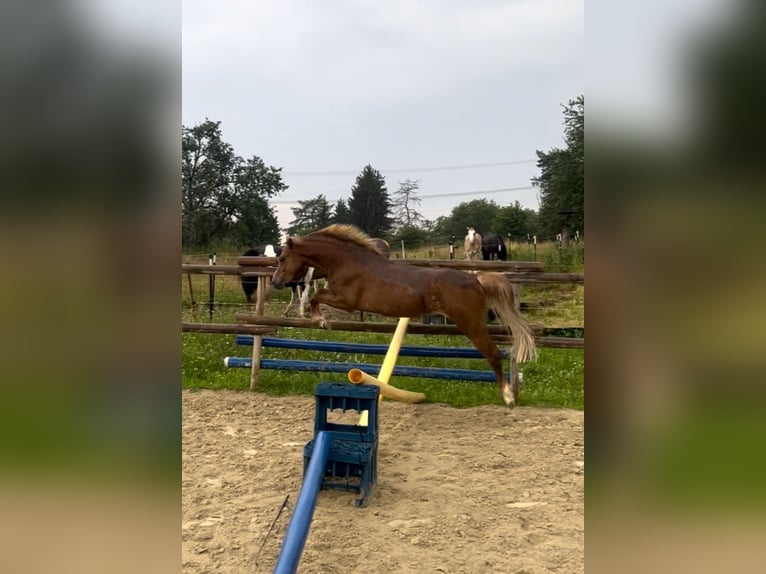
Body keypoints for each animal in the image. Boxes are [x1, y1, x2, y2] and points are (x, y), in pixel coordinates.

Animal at [272, 224, 536, 407]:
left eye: (282, 258)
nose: (275, 282)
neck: (347, 262)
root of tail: (476, 279)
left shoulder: (346, 301)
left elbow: (317, 297)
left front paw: (320, 320)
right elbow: (317, 297)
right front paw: (319, 319)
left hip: (472, 325)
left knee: (493, 354)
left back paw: (508, 396)